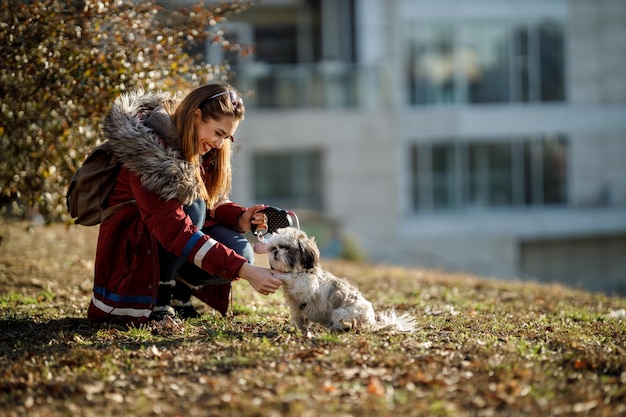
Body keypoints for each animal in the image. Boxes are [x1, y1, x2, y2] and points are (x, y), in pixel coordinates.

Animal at [256, 226, 416, 334]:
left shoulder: (305, 286)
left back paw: (335, 328)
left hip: (340, 313)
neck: (302, 270)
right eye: (273, 248)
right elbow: (298, 319)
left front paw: (277, 274)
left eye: (286, 247)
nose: (275, 252)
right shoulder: (297, 307)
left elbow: (291, 278)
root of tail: (371, 322)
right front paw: (296, 329)